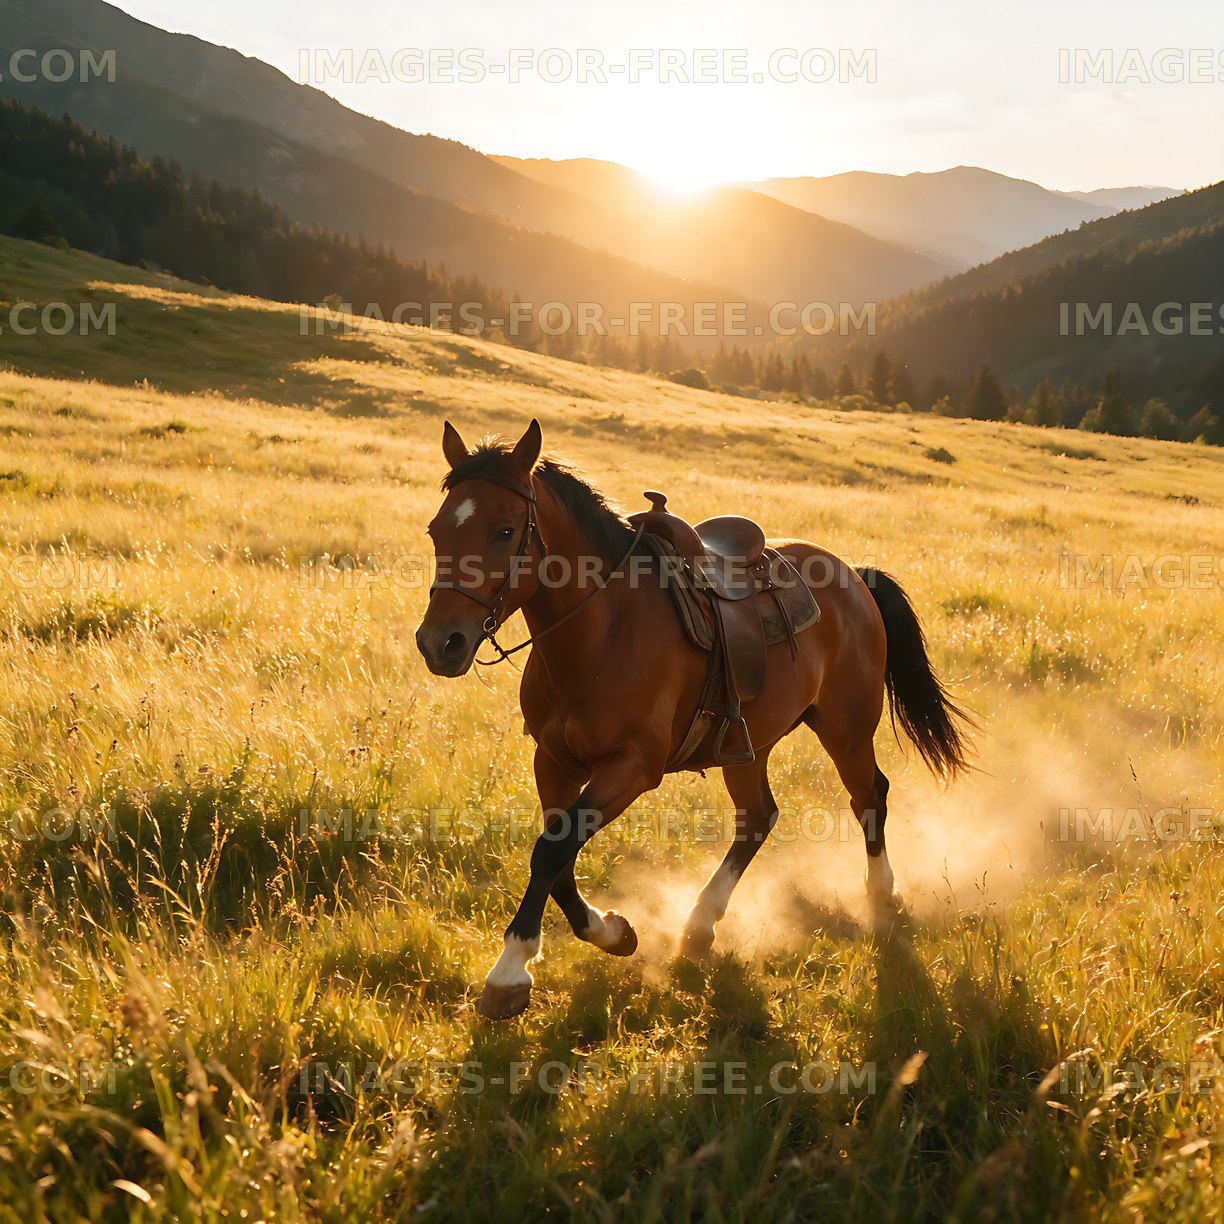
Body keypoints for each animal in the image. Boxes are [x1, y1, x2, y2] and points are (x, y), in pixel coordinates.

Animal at [416, 419, 973, 1019]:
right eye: (436, 530)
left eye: (503, 531)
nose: (439, 643)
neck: (601, 631)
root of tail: (854, 575)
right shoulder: (554, 760)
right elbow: (556, 855)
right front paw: (613, 932)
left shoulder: (633, 767)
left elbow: (552, 850)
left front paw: (511, 970)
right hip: (748, 745)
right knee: (758, 818)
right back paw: (701, 925)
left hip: (846, 729)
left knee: (869, 796)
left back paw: (882, 896)